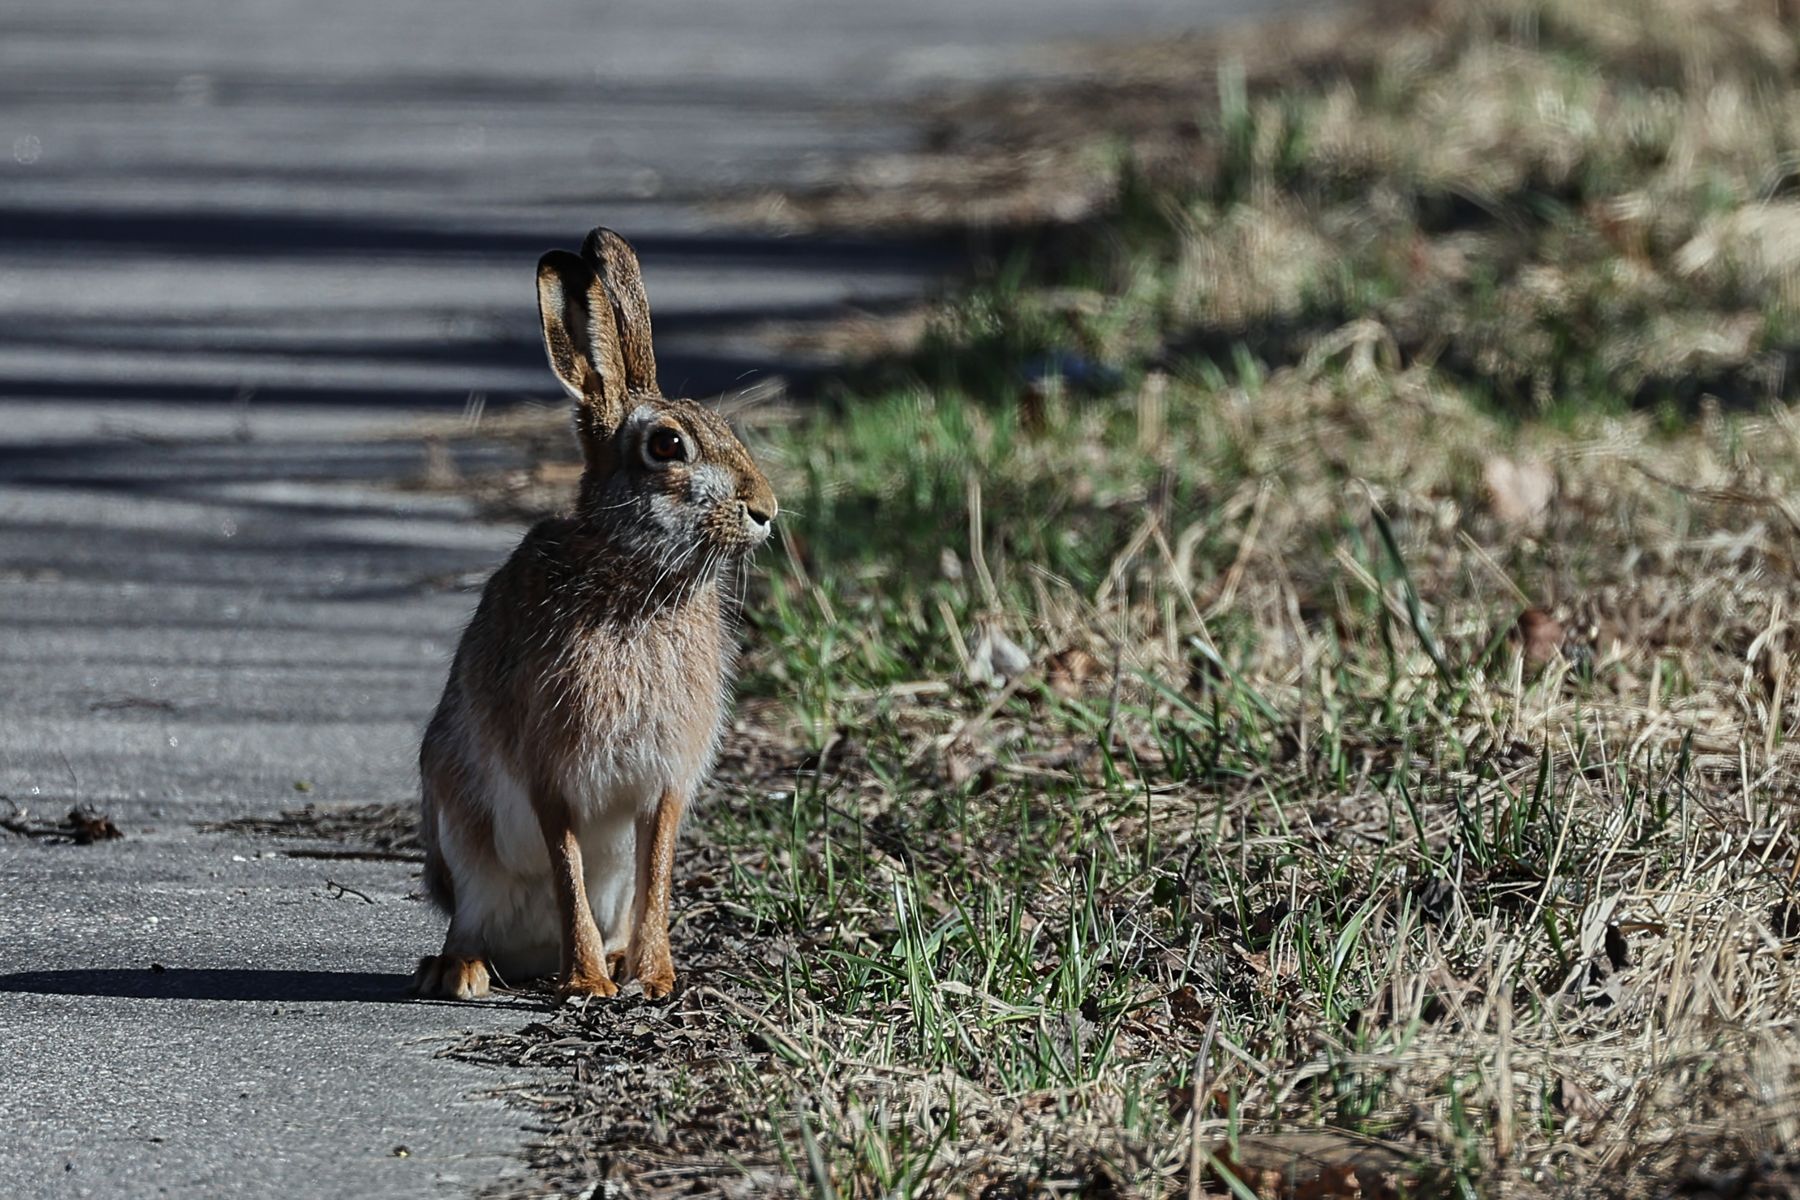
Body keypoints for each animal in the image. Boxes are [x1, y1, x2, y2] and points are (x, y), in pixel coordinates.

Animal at [412, 227, 777, 1002]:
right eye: (667, 446)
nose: (766, 510)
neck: (630, 572)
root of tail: (522, 950)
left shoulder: (665, 780)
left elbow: (658, 868)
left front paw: (655, 977)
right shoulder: (549, 771)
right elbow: (565, 863)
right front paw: (585, 985)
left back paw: (609, 959)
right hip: (461, 829)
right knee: (476, 916)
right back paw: (462, 970)